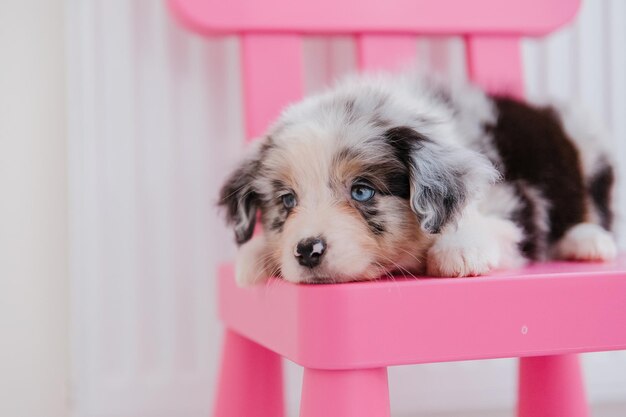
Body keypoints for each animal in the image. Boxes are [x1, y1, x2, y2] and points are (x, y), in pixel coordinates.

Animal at [218, 73, 616, 284]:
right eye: (287, 200)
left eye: (361, 192)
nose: (307, 250)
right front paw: (254, 255)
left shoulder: (515, 201)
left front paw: (461, 249)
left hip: (585, 153)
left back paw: (590, 241)